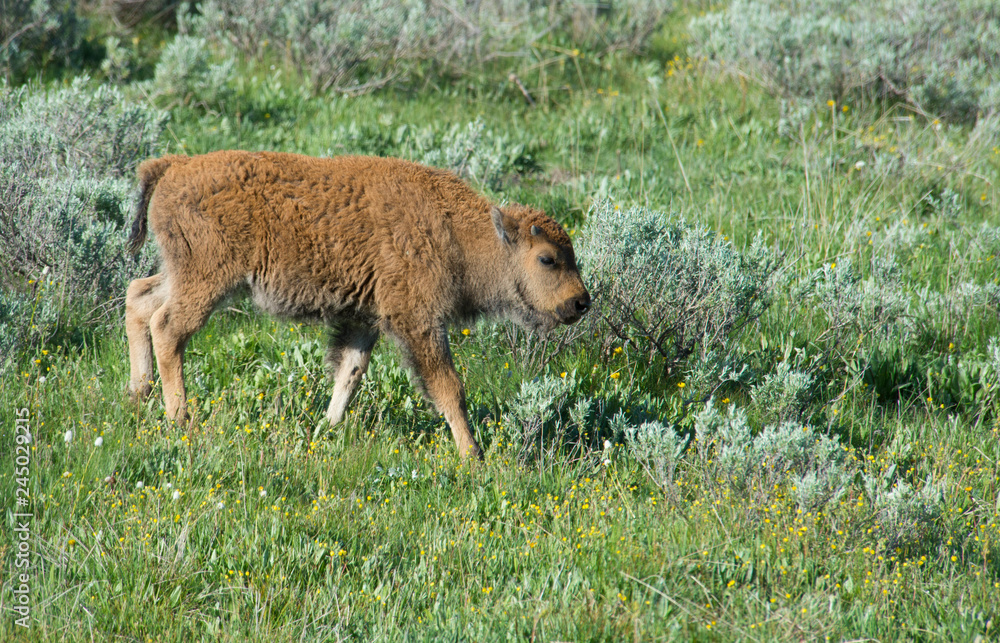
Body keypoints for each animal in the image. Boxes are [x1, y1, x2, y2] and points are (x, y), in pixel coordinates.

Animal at [128, 152, 588, 458]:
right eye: (547, 259)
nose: (581, 302)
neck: (458, 232)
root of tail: (173, 166)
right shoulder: (419, 321)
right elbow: (449, 387)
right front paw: (473, 456)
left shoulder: (366, 319)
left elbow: (349, 373)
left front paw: (327, 428)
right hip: (207, 280)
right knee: (168, 328)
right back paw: (181, 420)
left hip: (180, 273)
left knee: (139, 298)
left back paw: (138, 394)